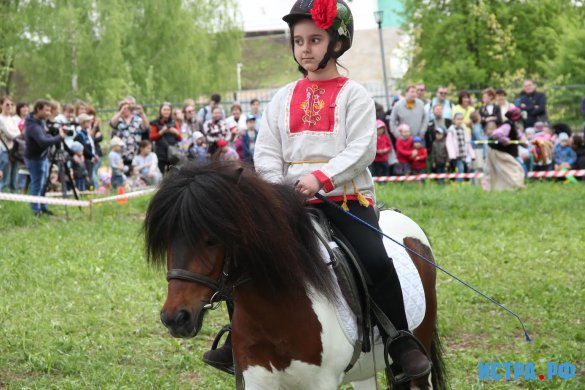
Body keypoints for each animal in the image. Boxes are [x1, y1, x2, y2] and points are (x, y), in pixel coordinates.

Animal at [144, 161, 444, 390]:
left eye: (212, 239)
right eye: (169, 239)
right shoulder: (257, 380)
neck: (278, 311)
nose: (176, 318)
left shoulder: (321, 383)